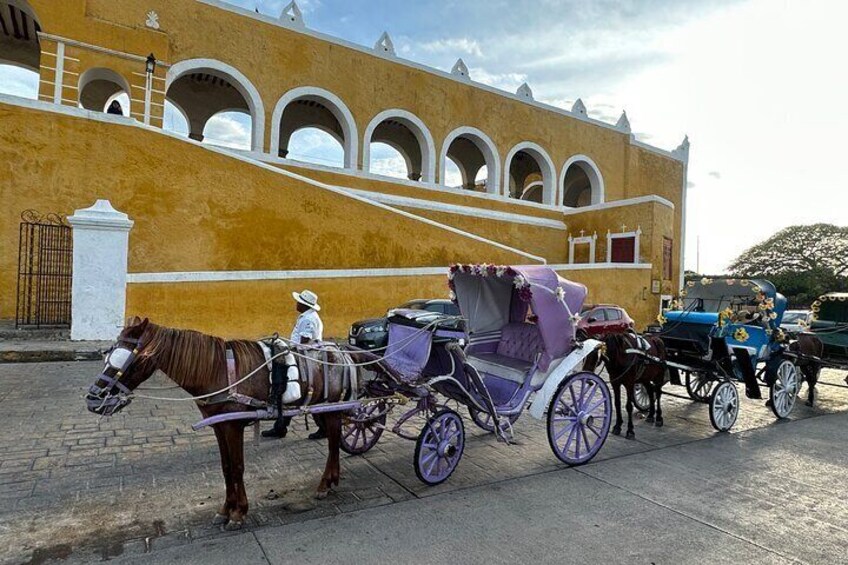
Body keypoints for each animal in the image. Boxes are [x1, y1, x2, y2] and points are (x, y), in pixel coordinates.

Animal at [86, 318, 352, 528]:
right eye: (108, 356)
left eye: (130, 361)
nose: (93, 399)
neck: (217, 371)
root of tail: (340, 351)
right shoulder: (218, 425)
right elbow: (225, 467)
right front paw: (225, 509)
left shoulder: (233, 425)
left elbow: (237, 467)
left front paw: (238, 513)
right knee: (333, 440)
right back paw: (330, 480)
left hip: (333, 407)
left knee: (332, 443)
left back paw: (325, 484)